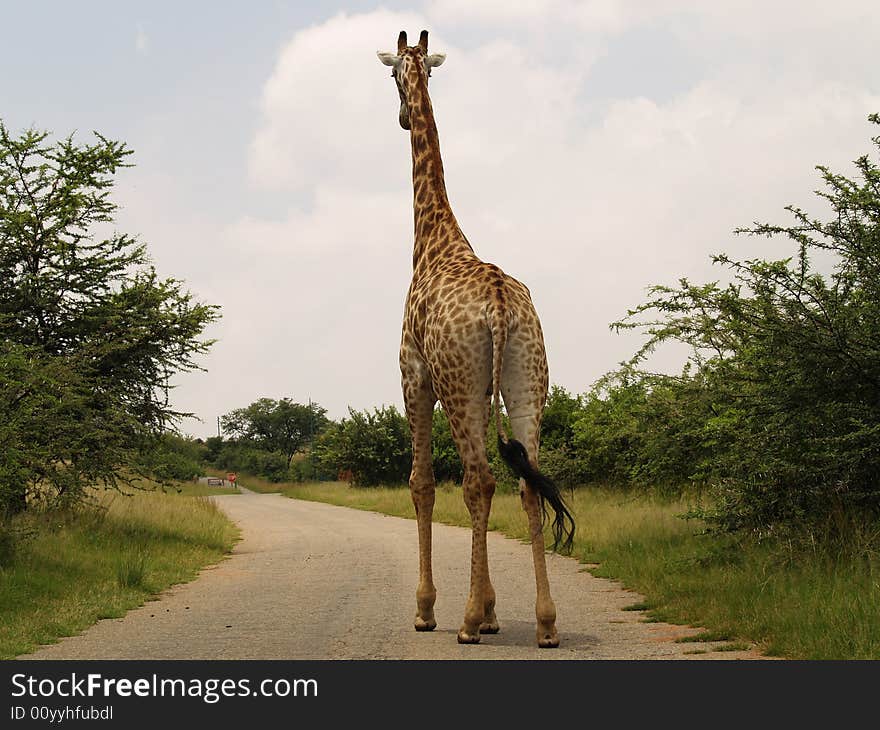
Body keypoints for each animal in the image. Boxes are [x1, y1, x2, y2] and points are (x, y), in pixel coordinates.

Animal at [374, 28, 576, 644]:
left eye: (391, 74)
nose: (400, 116)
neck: (433, 237)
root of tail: (500, 305)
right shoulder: (481, 385)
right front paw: (491, 610)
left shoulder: (414, 375)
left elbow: (421, 482)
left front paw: (431, 610)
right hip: (525, 377)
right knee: (527, 481)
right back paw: (545, 622)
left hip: (461, 383)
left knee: (478, 480)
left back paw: (463, 621)